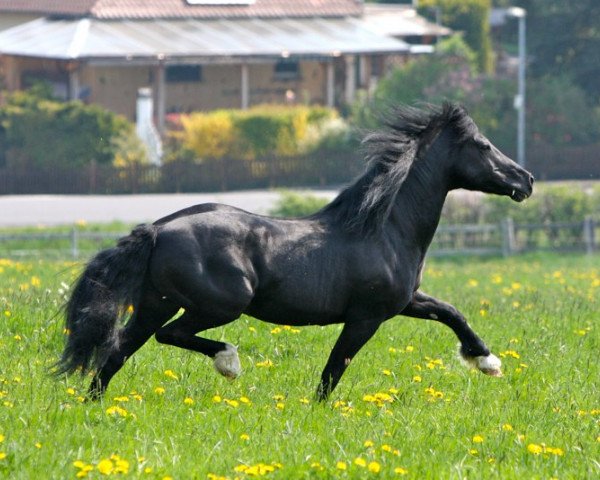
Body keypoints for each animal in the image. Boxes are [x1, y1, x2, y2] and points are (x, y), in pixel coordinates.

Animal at [56, 103, 536, 400]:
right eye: (483, 145)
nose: (526, 179)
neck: (384, 228)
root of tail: (157, 229)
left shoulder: (404, 302)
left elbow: (451, 312)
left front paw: (487, 361)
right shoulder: (367, 317)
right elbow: (334, 369)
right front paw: (317, 412)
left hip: (156, 303)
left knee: (117, 350)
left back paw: (92, 407)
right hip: (220, 304)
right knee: (169, 336)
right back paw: (229, 363)